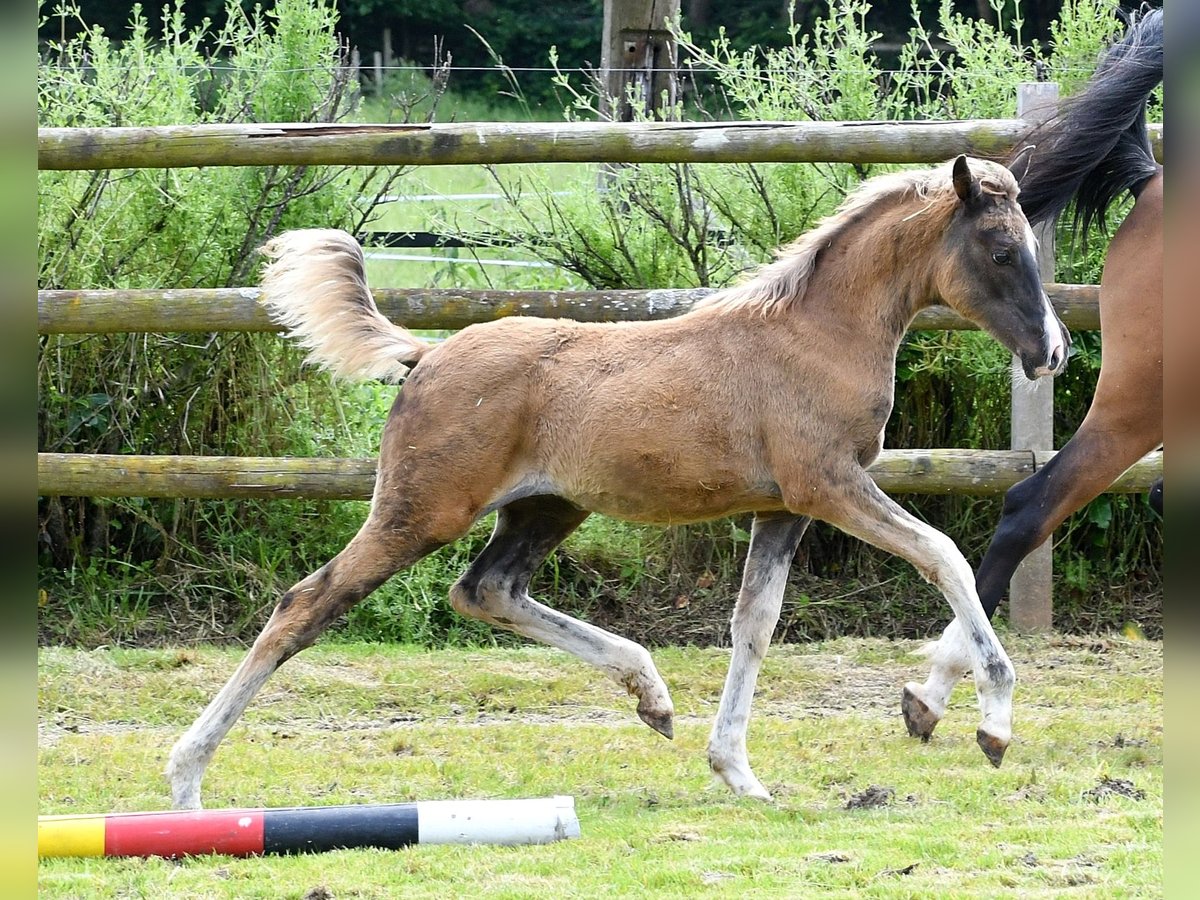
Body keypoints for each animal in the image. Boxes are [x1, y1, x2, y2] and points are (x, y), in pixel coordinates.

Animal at [162, 154, 1070, 811]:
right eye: (1000, 251)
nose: (1054, 352)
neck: (814, 335)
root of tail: (426, 354)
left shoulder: (782, 509)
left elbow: (754, 624)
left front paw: (737, 771)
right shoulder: (829, 487)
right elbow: (944, 554)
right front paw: (991, 721)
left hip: (544, 508)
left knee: (485, 591)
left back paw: (651, 694)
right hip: (420, 512)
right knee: (305, 605)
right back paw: (186, 777)